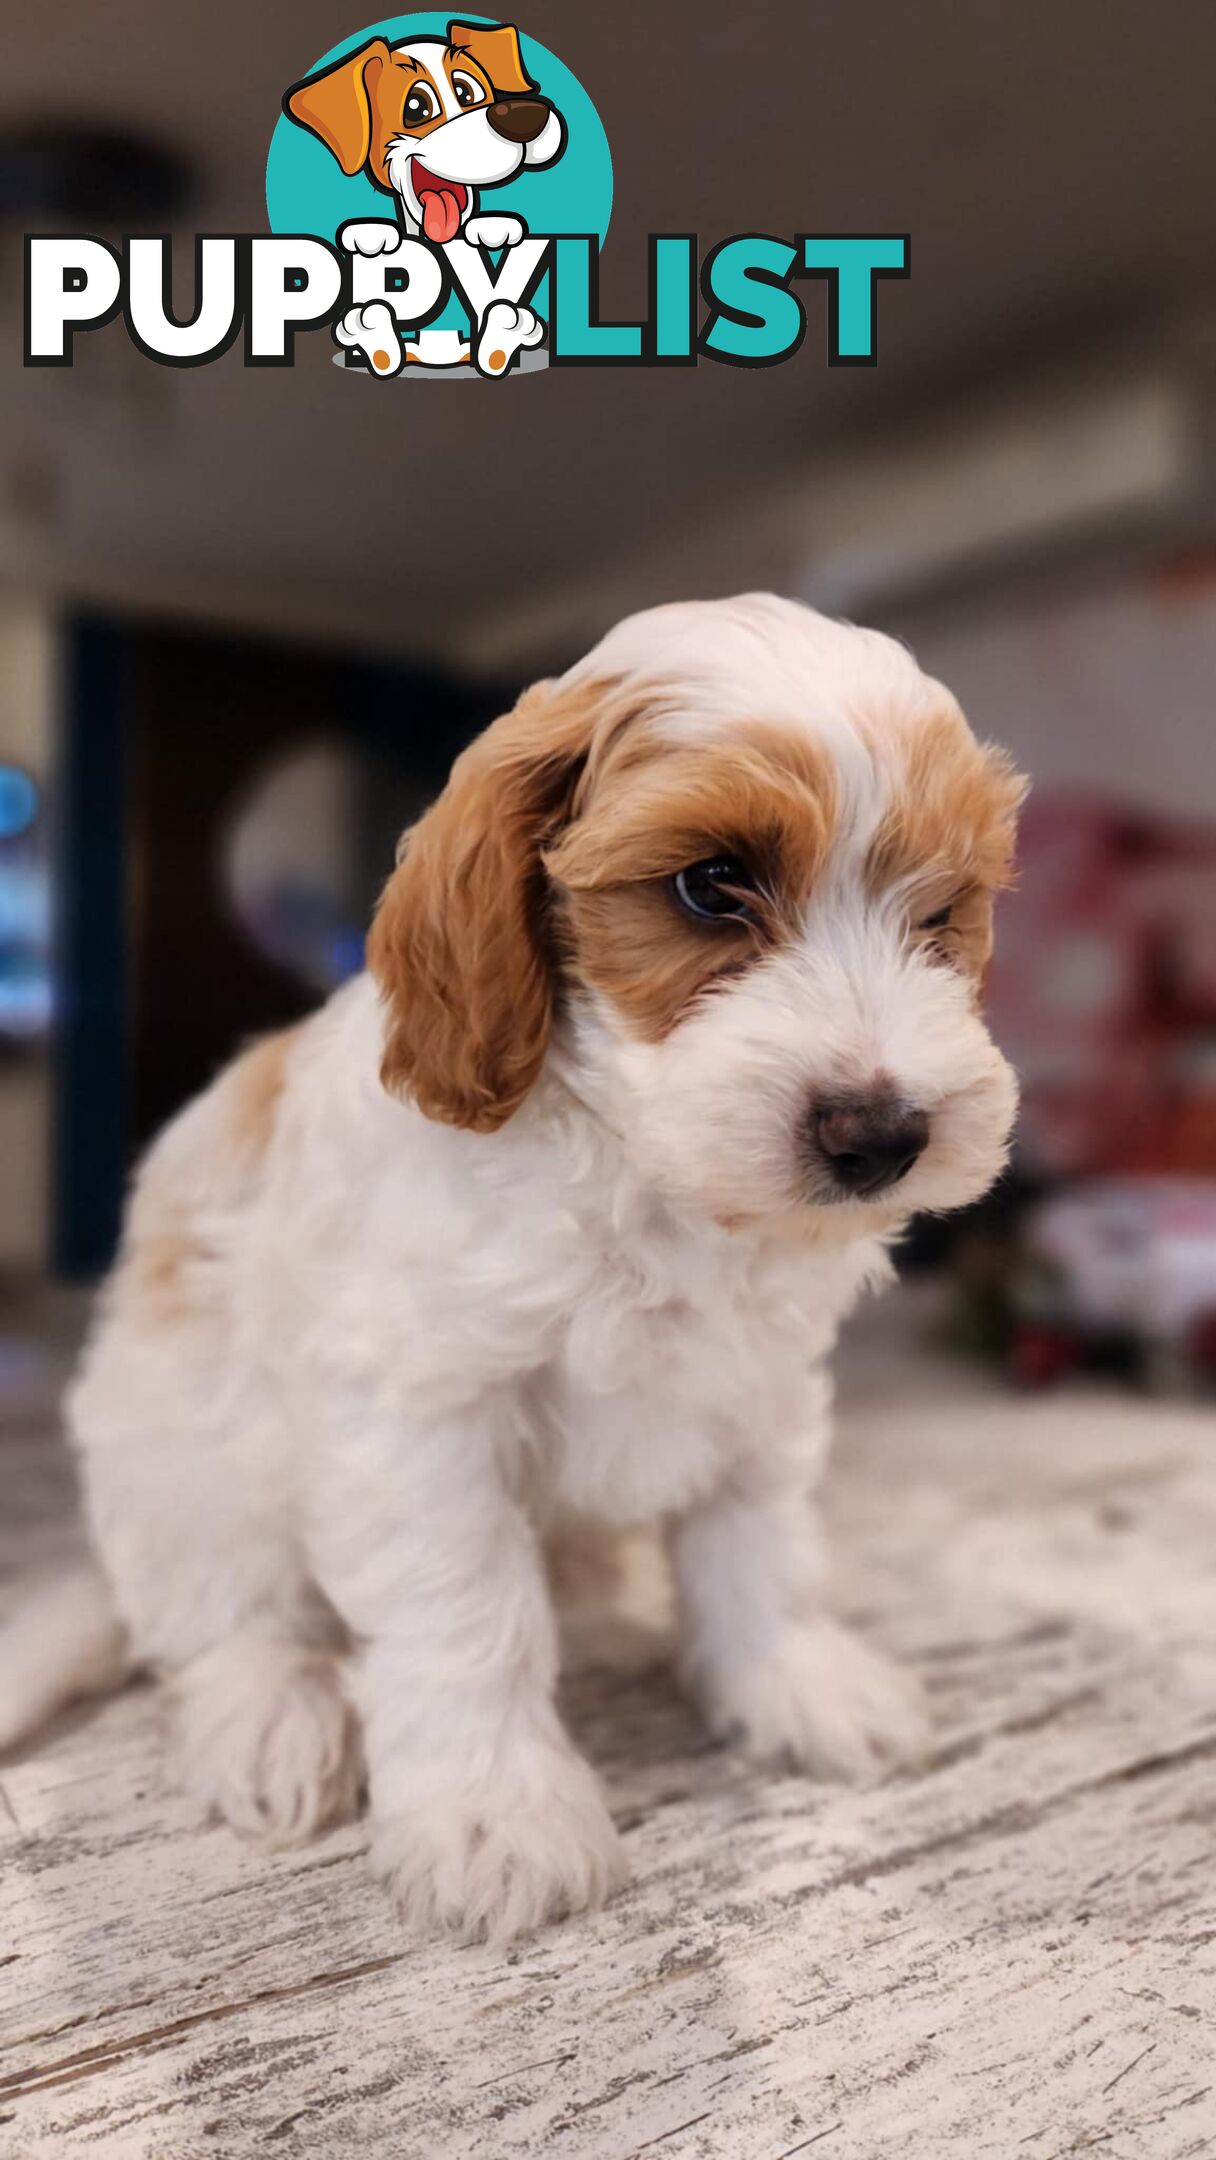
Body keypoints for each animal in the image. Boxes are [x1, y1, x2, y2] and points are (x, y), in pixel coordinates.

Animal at [0, 600, 1028, 1952]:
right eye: (711, 884)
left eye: (941, 913)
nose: (883, 1136)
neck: (644, 1168)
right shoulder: (421, 1414)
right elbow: (466, 1611)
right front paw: (495, 1815)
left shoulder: (761, 1386)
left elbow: (759, 1541)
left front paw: (792, 1679)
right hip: (179, 1454)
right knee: (222, 1612)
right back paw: (271, 1715)